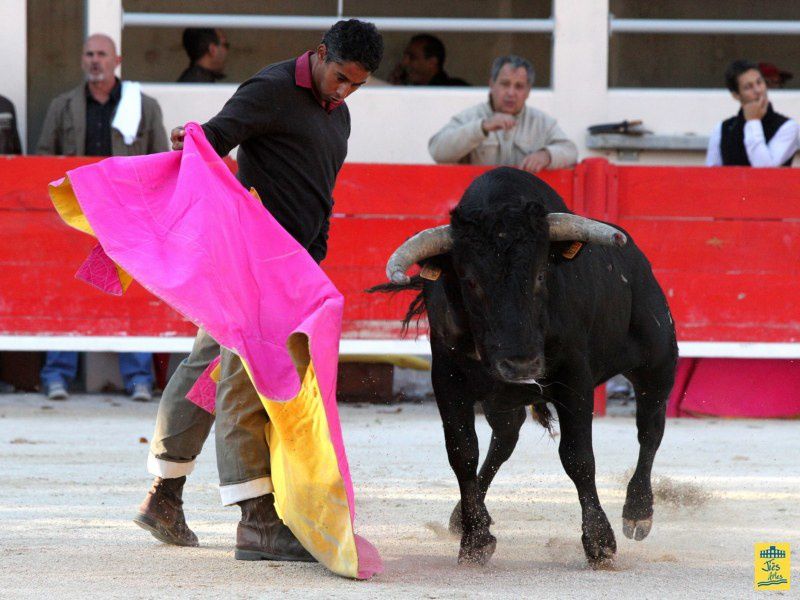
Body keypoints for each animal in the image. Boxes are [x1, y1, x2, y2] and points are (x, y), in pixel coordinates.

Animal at [368, 169, 676, 568]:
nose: (521, 364)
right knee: (505, 438)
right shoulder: (447, 381)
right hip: (501, 397)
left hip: (658, 361)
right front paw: (475, 540)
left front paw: (599, 543)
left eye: (541, 275)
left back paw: (638, 512)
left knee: (650, 430)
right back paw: (463, 516)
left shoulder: (574, 377)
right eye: (470, 282)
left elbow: (578, 456)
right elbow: (463, 453)